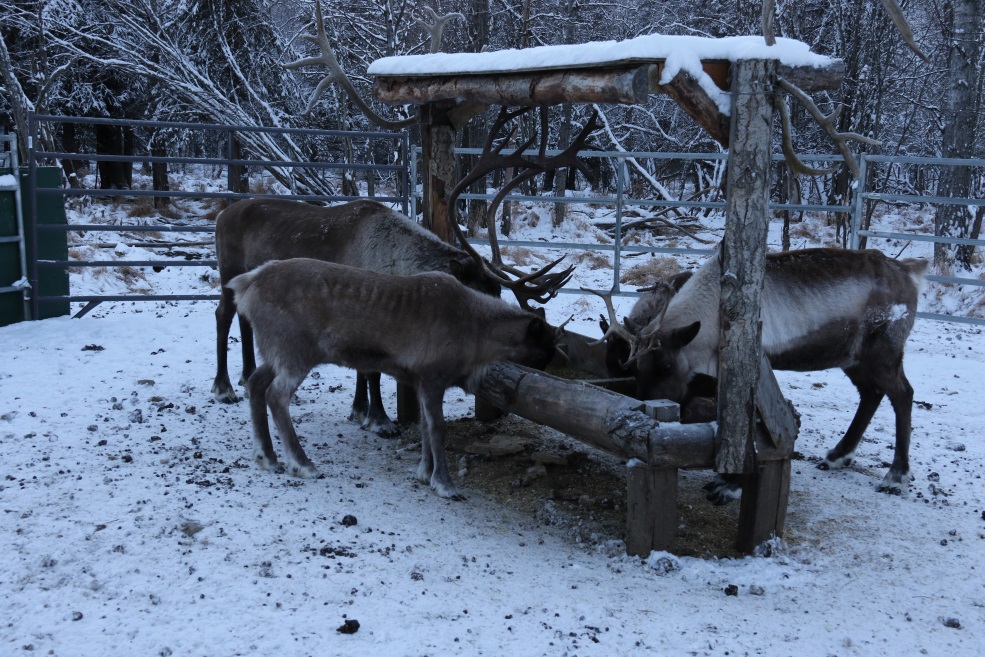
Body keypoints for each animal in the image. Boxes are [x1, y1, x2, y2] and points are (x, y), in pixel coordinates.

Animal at [226, 258, 558, 499]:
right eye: (546, 348)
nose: (551, 372)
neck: (477, 333)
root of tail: (246, 283)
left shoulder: (420, 381)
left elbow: (424, 426)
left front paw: (424, 472)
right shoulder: (434, 378)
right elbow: (438, 428)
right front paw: (444, 484)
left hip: (275, 353)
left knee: (255, 384)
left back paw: (267, 457)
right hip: (295, 352)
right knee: (276, 396)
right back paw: (303, 464)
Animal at [592, 247, 928, 501]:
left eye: (667, 366)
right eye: (635, 367)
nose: (645, 404)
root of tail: (909, 272)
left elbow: (746, 424)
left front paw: (730, 485)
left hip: (883, 352)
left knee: (903, 394)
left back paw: (896, 475)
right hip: (853, 358)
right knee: (872, 393)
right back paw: (838, 455)